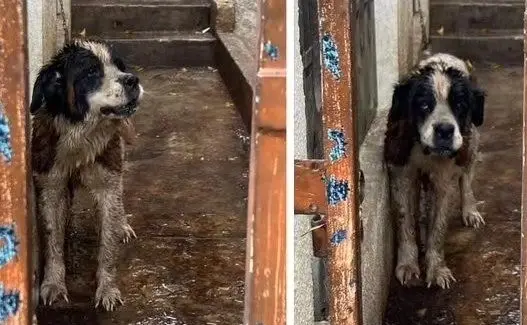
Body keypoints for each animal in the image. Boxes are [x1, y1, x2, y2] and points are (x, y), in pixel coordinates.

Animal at [30, 39, 142, 310]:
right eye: (91, 73)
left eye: (119, 66)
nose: (132, 79)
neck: (80, 138)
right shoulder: (50, 185)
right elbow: (52, 239)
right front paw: (53, 284)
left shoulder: (108, 184)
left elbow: (108, 244)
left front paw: (107, 289)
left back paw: (122, 224)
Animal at [384, 53, 486, 288]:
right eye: (423, 105)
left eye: (460, 105)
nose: (445, 130)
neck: (425, 150)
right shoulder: (401, 172)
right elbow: (405, 220)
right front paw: (408, 265)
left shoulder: (443, 180)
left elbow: (438, 227)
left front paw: (437, 269)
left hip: (470, 143)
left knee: (466, 179)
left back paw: (470, 211)